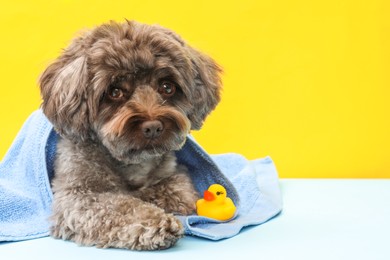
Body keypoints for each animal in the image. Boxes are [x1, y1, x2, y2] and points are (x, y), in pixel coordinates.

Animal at [40, 20, 224, 250]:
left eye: (167, 87)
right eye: (115, 92)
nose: (153, 127)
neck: (130, 162)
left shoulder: (172, 174)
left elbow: (178, 191)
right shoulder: (77, 195)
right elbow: (121, 206)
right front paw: (155, 222)